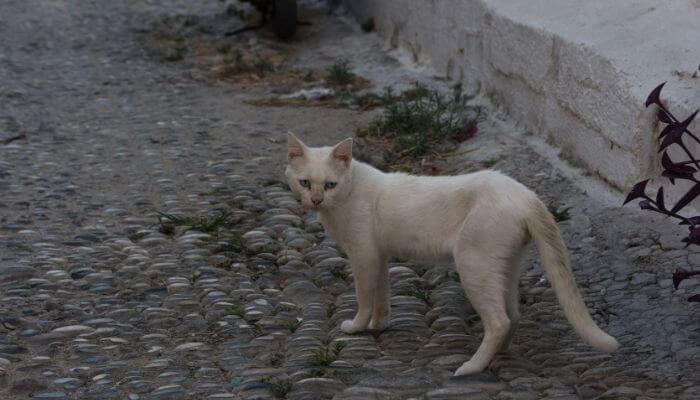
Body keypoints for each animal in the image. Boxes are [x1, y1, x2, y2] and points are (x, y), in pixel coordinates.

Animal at [284, 131, 616, 376]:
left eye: (330, 185)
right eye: (305, 183)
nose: (315, 199)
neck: (345, 197)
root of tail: (526, 194)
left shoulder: (363, 255)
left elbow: (365, 297)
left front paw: (356, 327)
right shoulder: (379, 256)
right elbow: (382, 295)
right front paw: (379, 325)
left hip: (473, 265)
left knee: (499, 320)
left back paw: (471, 367)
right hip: (504, 267)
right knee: (513, 315)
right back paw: (498, 354)